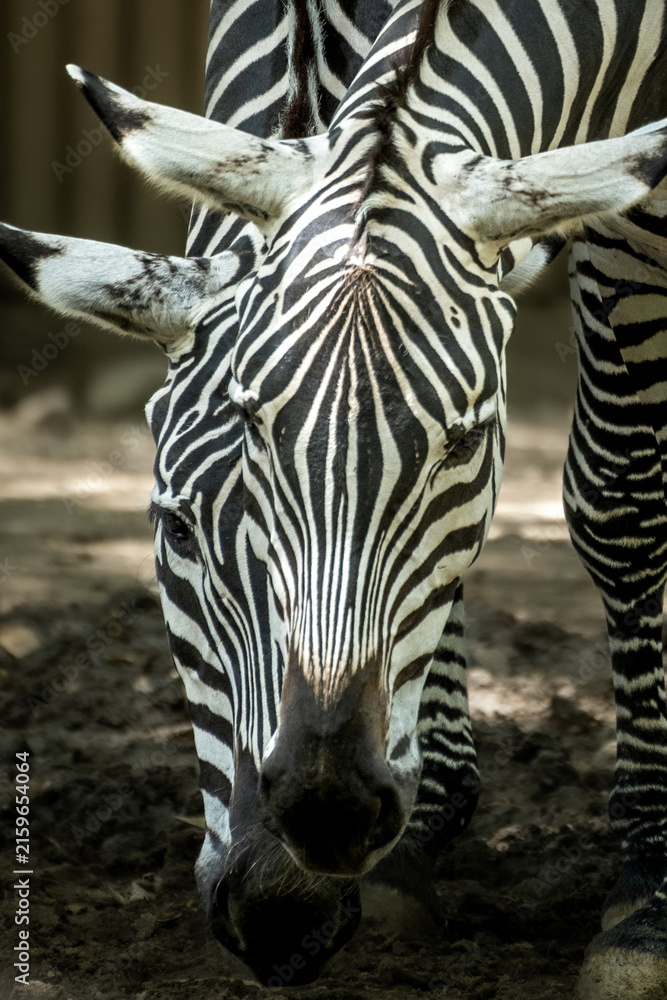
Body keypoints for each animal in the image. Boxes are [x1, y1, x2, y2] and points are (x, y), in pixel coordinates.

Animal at [2, 0, 667, 996]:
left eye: (466, 444)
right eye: (177, 528)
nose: (283, 910)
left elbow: (621, 491)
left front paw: (646, 896)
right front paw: (420, 830)